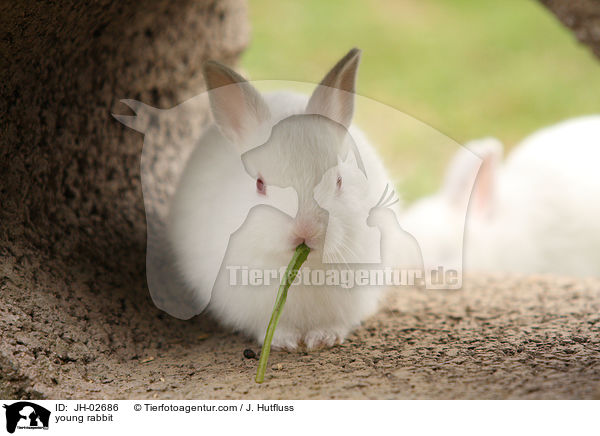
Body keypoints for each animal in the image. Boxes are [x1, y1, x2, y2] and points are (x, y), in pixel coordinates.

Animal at [169, 49, 404, 350]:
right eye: (260, 184)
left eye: (339, 180)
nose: (306, 231)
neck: (303, 269)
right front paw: (286, 341)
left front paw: (323, 339)